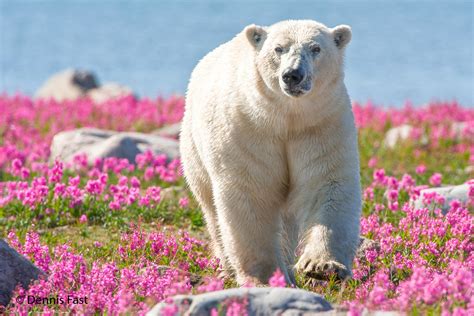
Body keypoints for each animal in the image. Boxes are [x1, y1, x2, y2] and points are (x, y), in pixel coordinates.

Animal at [180, 19, 362, 286]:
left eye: (316, 48)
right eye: (278, 49)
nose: (293, 75)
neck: (286, 117)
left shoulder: (321, 127)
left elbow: (327, 184)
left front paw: (323, 266)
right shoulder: (248, 130)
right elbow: (252, 194)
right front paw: (264, 278)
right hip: (193, 152)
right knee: (212, 212)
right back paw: (228, 268)